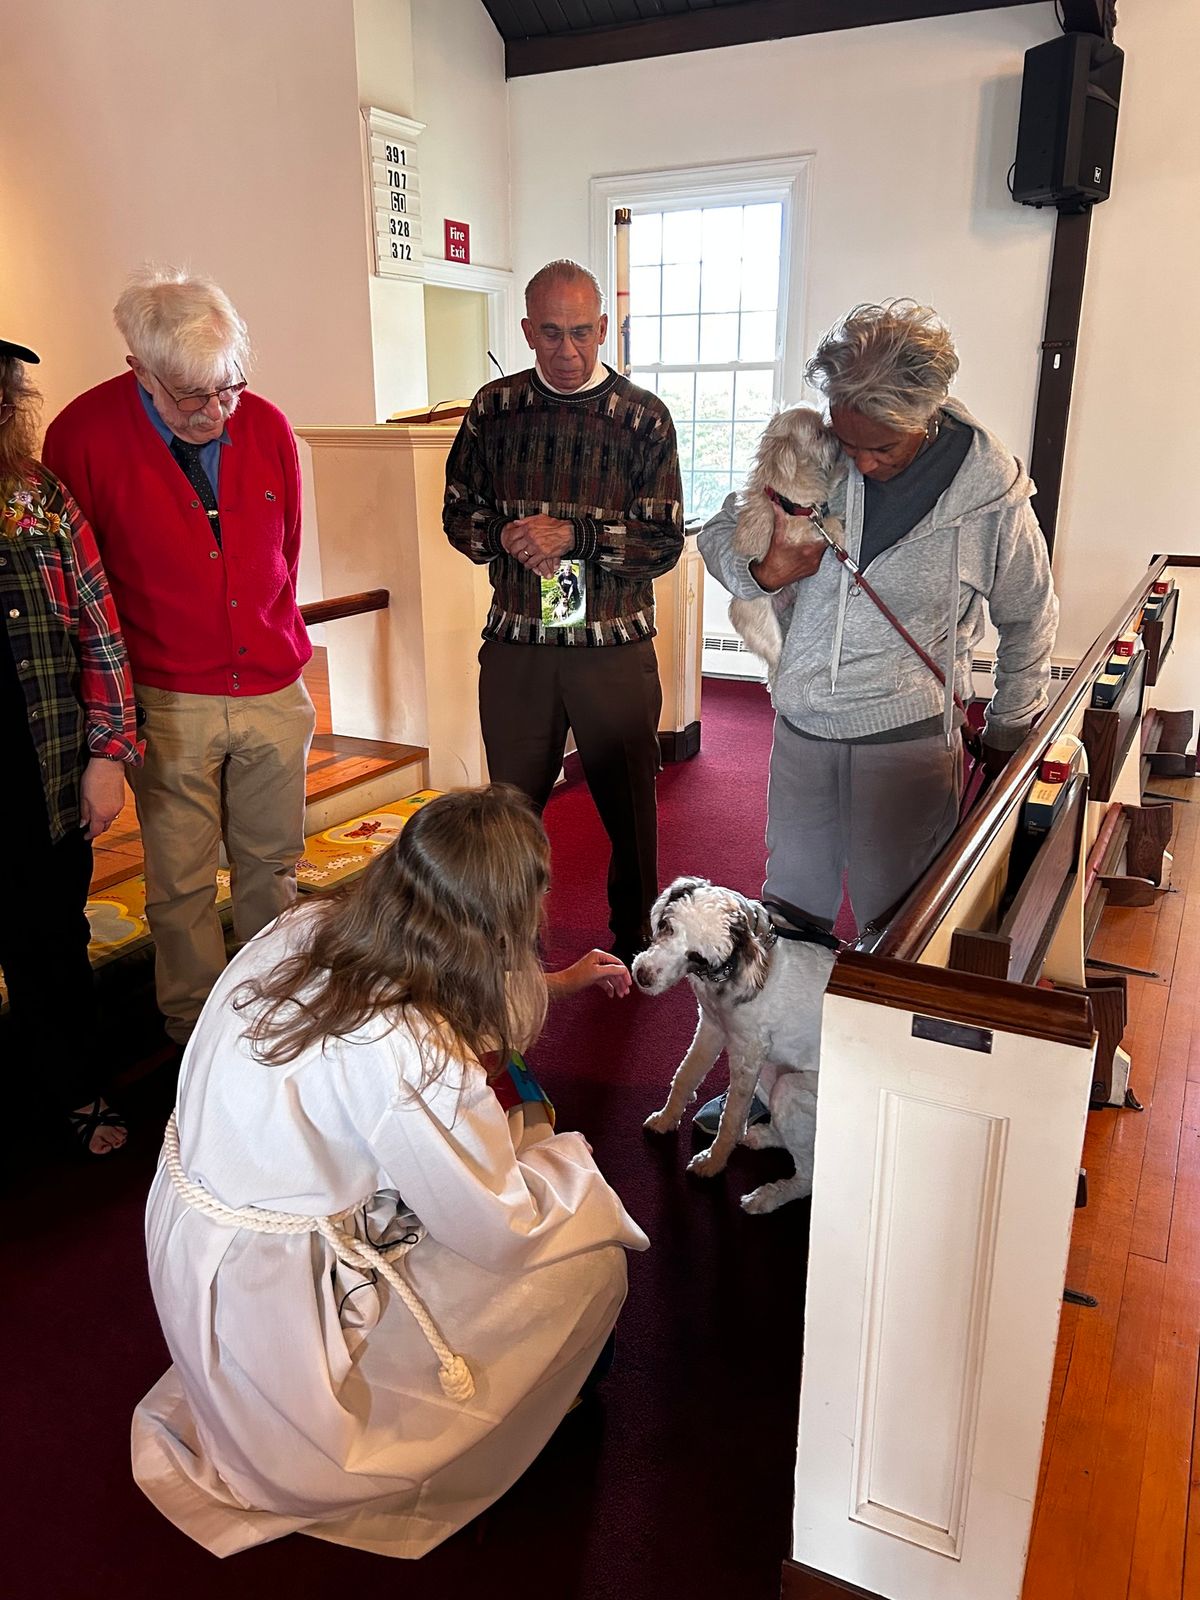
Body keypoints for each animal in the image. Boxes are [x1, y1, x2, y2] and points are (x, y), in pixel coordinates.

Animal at [633, 876, 838, 1209]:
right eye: (666, 926)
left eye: (696, 956)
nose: (643, 976)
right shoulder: (712, 1025)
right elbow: (685, 1076)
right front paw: (666, 1119)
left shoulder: (748, 1051)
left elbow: (731, 1117)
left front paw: (712, 1163)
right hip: (771, 1071)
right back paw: (761, 1136)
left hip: (790, 1089)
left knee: (809, 1175)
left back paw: (767, 1197)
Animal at [732, 403, 844, 684]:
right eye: (818, 434)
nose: (833, 430)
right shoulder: (799, 529)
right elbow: (825, 521)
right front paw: (838, 532)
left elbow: (826, 491)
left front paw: (837, 473)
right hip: (769, 632)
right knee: (775, 667)